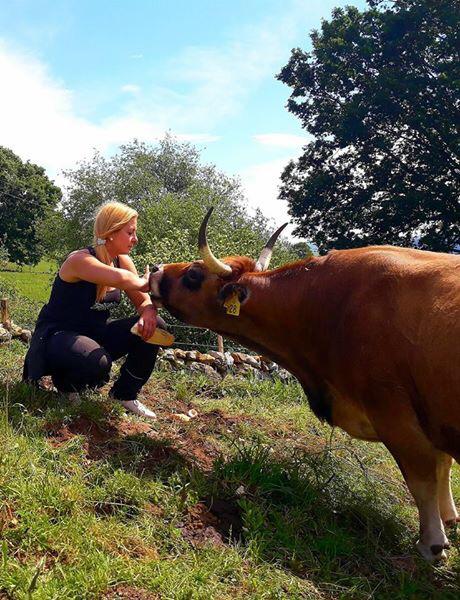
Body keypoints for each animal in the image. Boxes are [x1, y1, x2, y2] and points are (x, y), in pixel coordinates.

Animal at [150, 207, 460, 564]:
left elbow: (423, 476)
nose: (155, 269)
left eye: (193, 275)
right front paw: (450, 518)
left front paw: (432, 541)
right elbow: (442, 466)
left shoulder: (395, 414)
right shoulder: (432, 418)